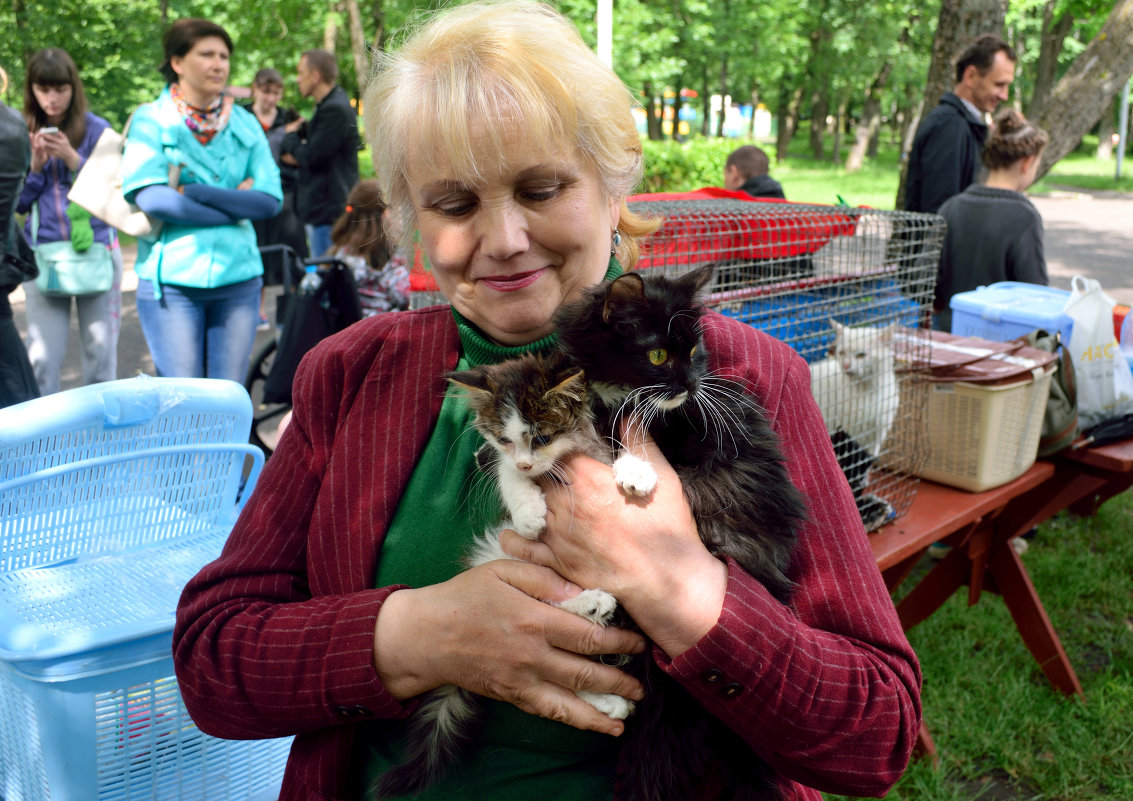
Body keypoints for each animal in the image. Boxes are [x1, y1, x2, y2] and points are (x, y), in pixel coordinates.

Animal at [555, 265, 806, 801]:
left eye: (693, 352)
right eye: (657, 355)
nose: (690, 383)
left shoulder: (692, 426)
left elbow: (624, 430)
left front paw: (636, 471)